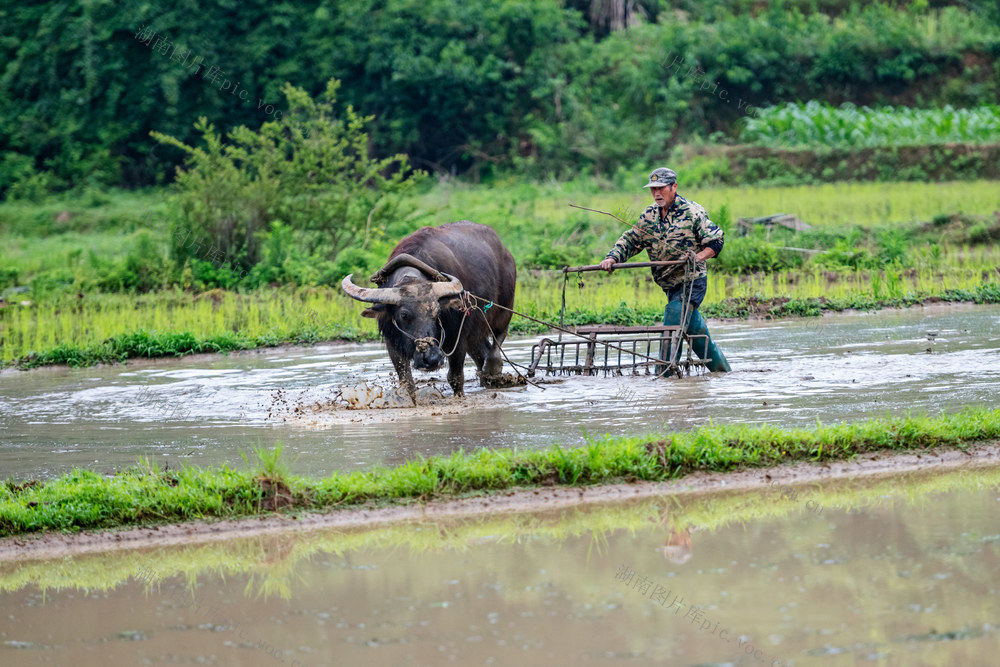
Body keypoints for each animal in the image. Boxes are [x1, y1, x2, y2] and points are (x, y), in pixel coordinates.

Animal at [342, 222, 516, 404]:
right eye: (404, 315)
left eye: (437, 312)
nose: (431, 359)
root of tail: (505, 253)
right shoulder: (392, 343)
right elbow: (407, 383)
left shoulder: (458, 337)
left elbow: (455, 377)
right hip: (476, 329)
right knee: (481, 351)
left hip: (504, 308)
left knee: (498, 337)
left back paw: (493, 369)